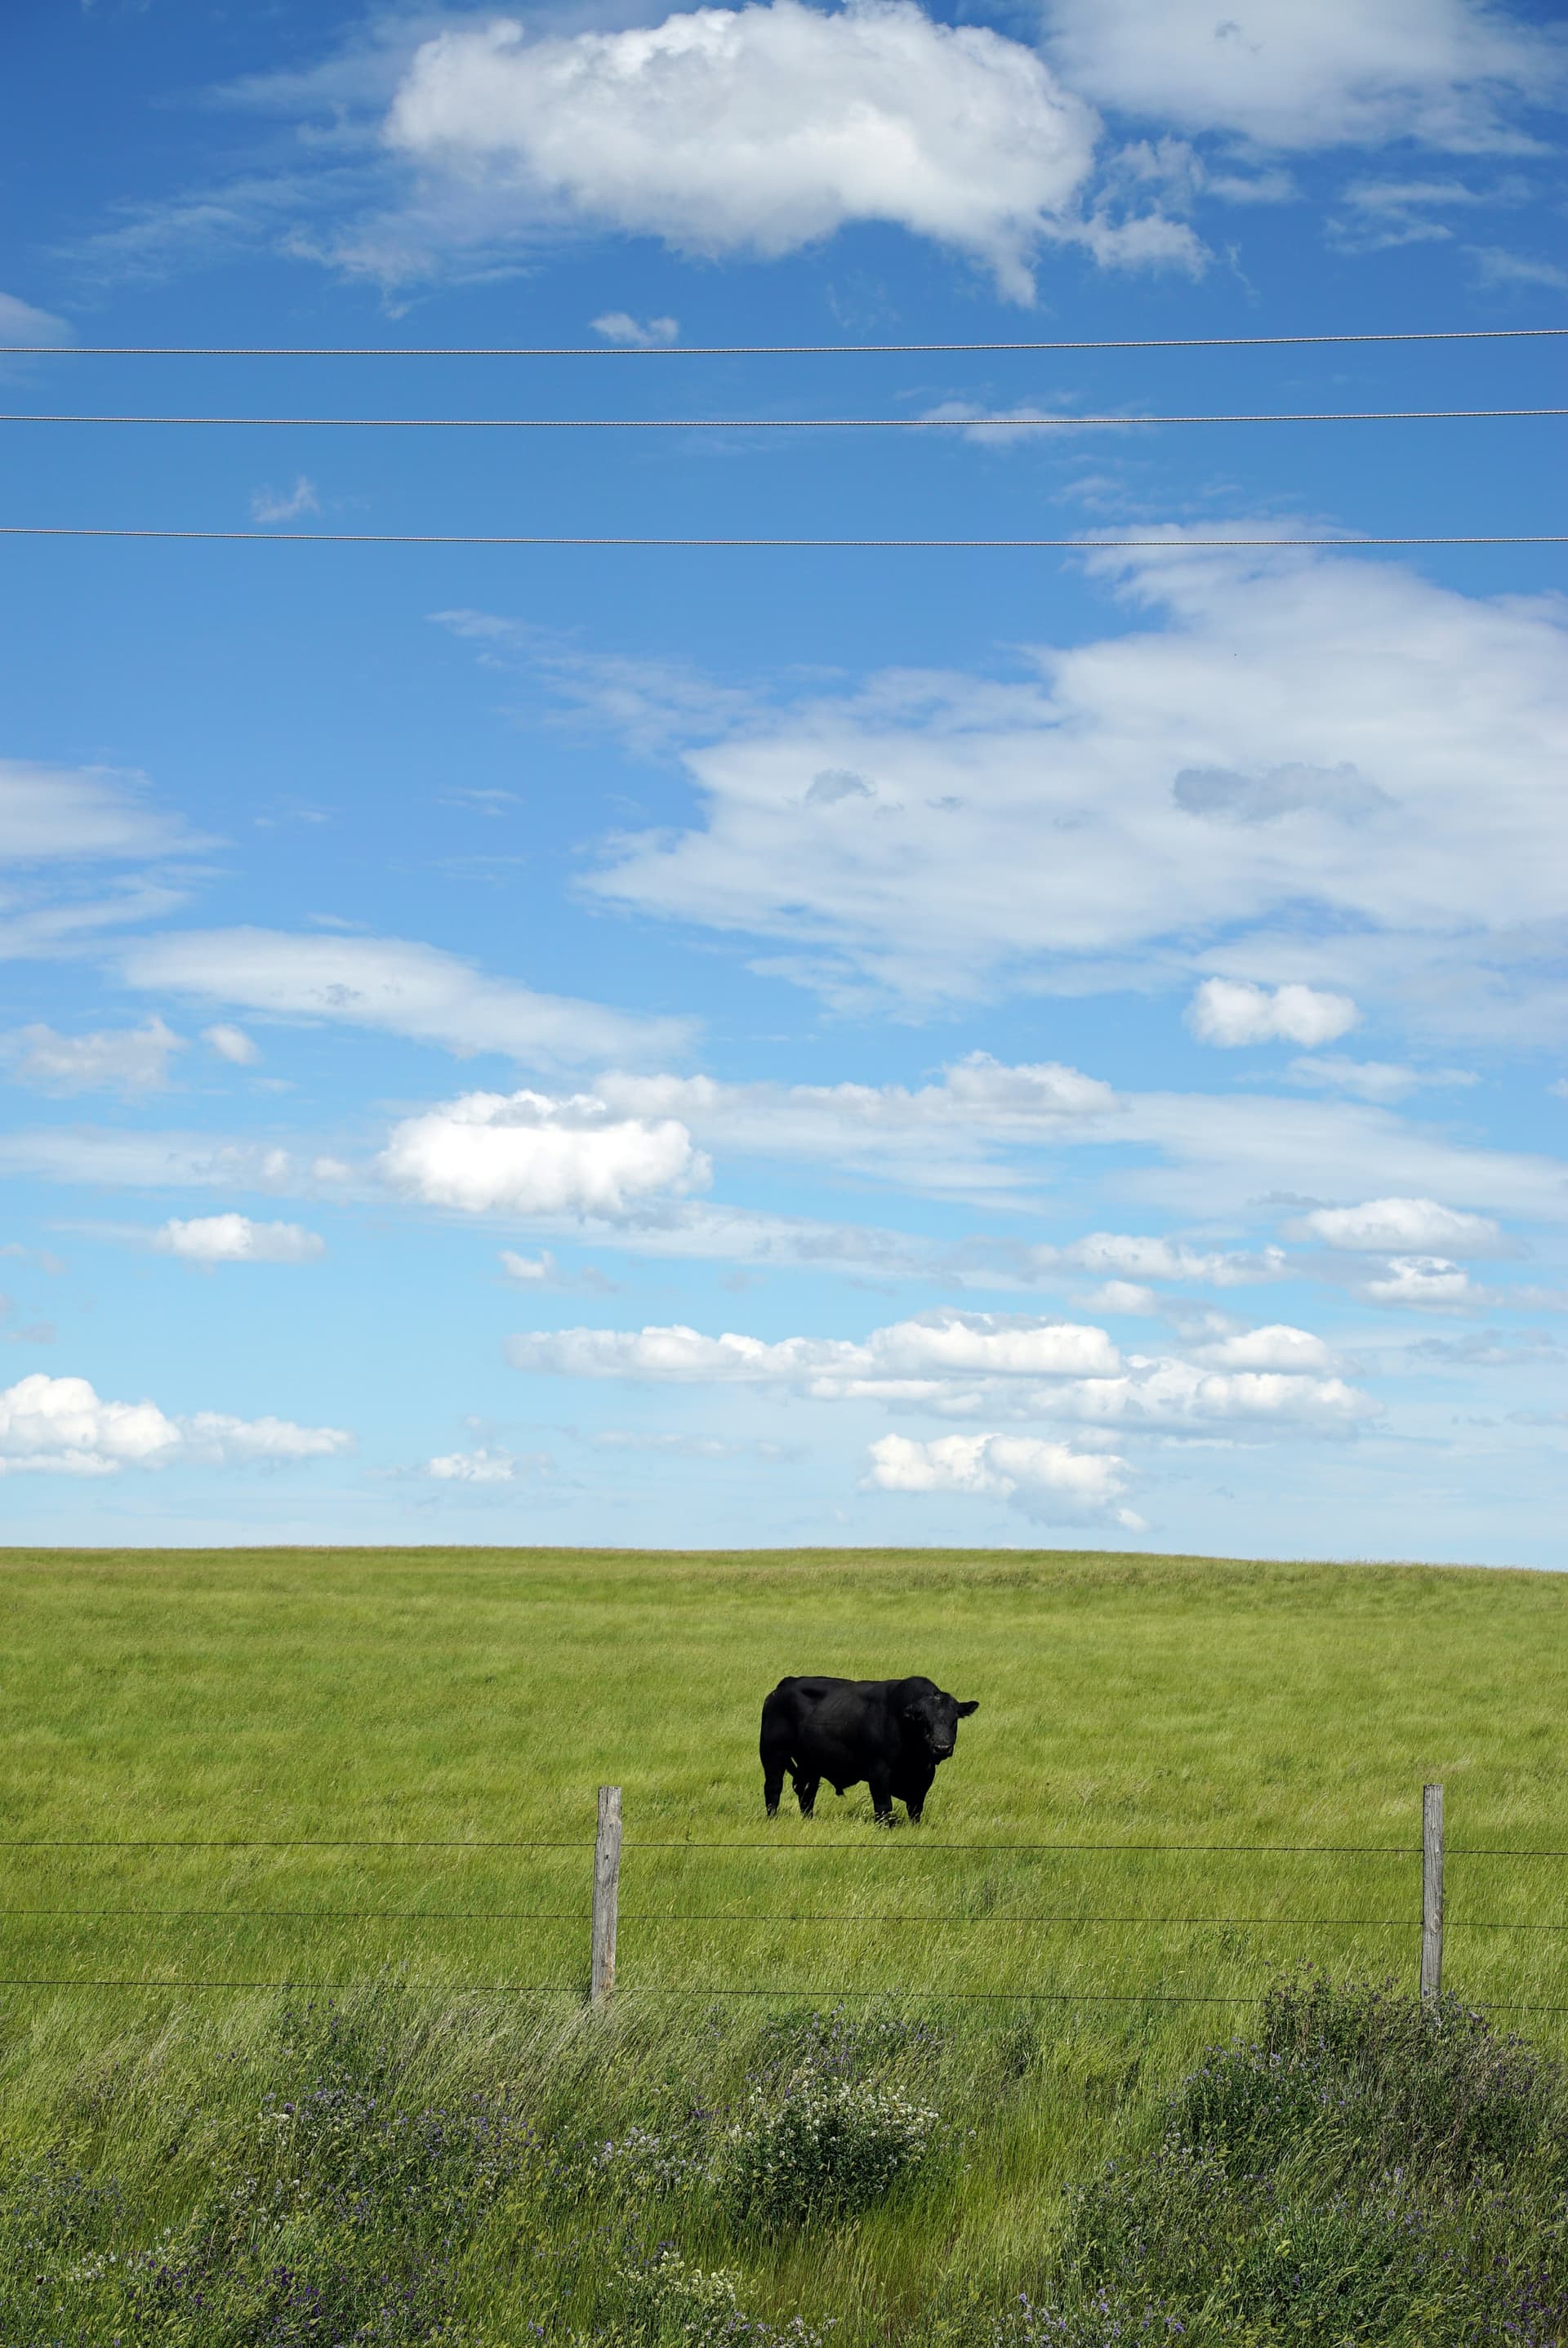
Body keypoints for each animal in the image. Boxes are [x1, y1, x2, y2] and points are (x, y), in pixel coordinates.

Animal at [759, 1674, 979, 1827]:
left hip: (810, 1764)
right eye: (923, 1719)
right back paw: (773, 1818)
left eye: (954, 1719)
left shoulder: (924, 1777)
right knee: (773, 1788)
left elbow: (916, 1808)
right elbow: (884, 1808)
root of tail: (785, 1685)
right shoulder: (879, 1774)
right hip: (772, 1754)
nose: (942, 1747)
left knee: (807, 1792)